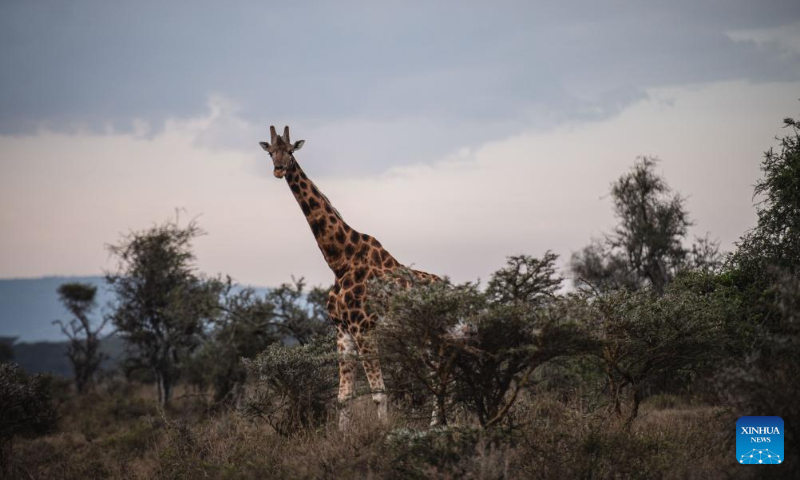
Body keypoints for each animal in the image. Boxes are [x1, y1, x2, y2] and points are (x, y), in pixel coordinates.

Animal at [260, 125, 438, 430]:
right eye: (271, 152)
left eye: (291, 151)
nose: (279, 170)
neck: (340, 261)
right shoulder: (342, 330)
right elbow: (344, 396)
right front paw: (341, 437)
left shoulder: (363, 327)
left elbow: (378, 392)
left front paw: (385, 433)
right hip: (421, 335)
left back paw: (438, 426)